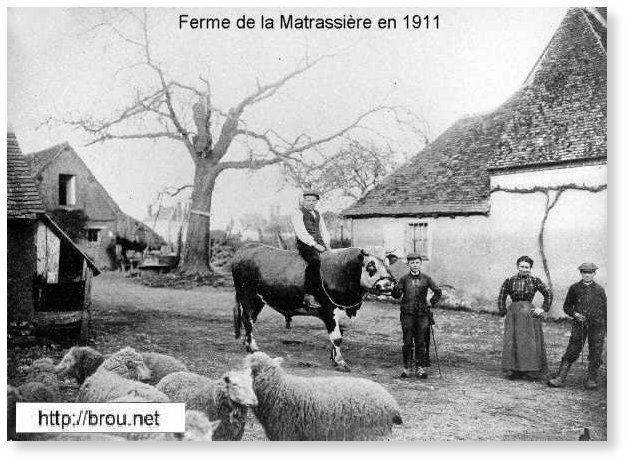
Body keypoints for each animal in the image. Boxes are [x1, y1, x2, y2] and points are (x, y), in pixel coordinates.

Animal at [232, 243, 396, 370]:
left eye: (388, 264)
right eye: (371, 265)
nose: (388, 284)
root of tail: (246, 248)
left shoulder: (340, 312)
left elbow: (337, 337)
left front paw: (333, 359)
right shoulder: (328, 311)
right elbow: (336, 338)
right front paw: (340, 362)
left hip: (257, 300)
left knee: (249, 320)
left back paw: (247, 343)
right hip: (248, 296)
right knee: (248, 320)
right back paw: (252, 347)